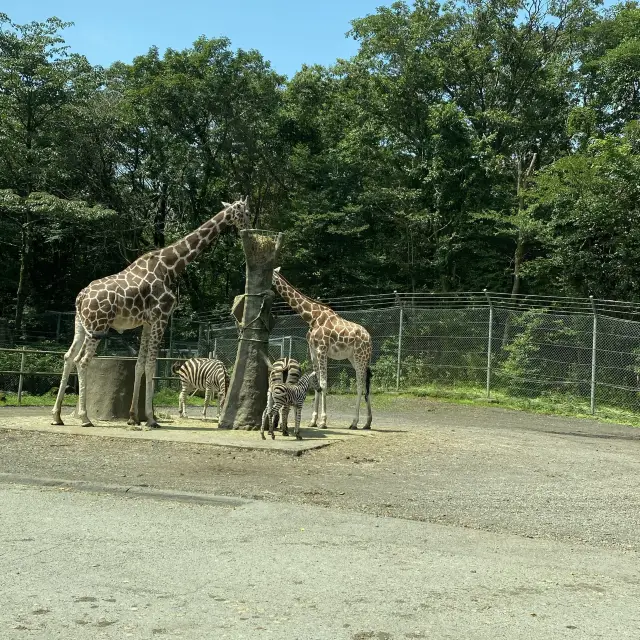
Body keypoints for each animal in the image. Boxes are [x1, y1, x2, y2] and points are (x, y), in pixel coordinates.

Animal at [51, 199, 251, 430]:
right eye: (246, 212)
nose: (248, 228)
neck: (170, 266)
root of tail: (81, 297)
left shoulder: (147, 322)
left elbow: (139, 365)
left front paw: (133, 417)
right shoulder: (161, 317)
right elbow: (151, 365)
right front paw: (151, 418)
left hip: (81, 325)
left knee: (68, 356)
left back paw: (57, 416)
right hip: (98, 326)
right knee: (82, 361)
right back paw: (85, 418)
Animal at [268, 268, 370, 428]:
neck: (312, 317)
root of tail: (369, 338)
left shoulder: (322, 349)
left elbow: (323, 383)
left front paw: (323, 421)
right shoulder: (313, 351)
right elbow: (316, 381)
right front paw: (313, 420)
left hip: (360, 357)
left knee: (360, 385)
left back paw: (354, 422)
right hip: (354, 358)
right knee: (365, 384)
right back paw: (367, 423)